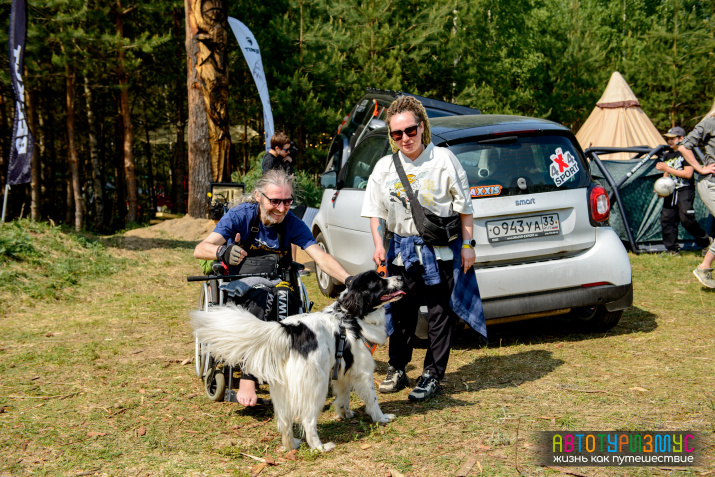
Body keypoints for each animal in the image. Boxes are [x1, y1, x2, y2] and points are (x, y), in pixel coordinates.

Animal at [189, 270, 402, 452]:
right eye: (378, 281)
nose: (400, 276)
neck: (351, 316)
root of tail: (289, 330)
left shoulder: (341, 371)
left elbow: (343, 397)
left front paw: (345, 414)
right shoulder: (363, 372)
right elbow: (372, 400)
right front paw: (382, 418)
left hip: (284, 390)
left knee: (284, 421)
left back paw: (291, 445)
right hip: (316, 387)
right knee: (307, 420)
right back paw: (319, 447)